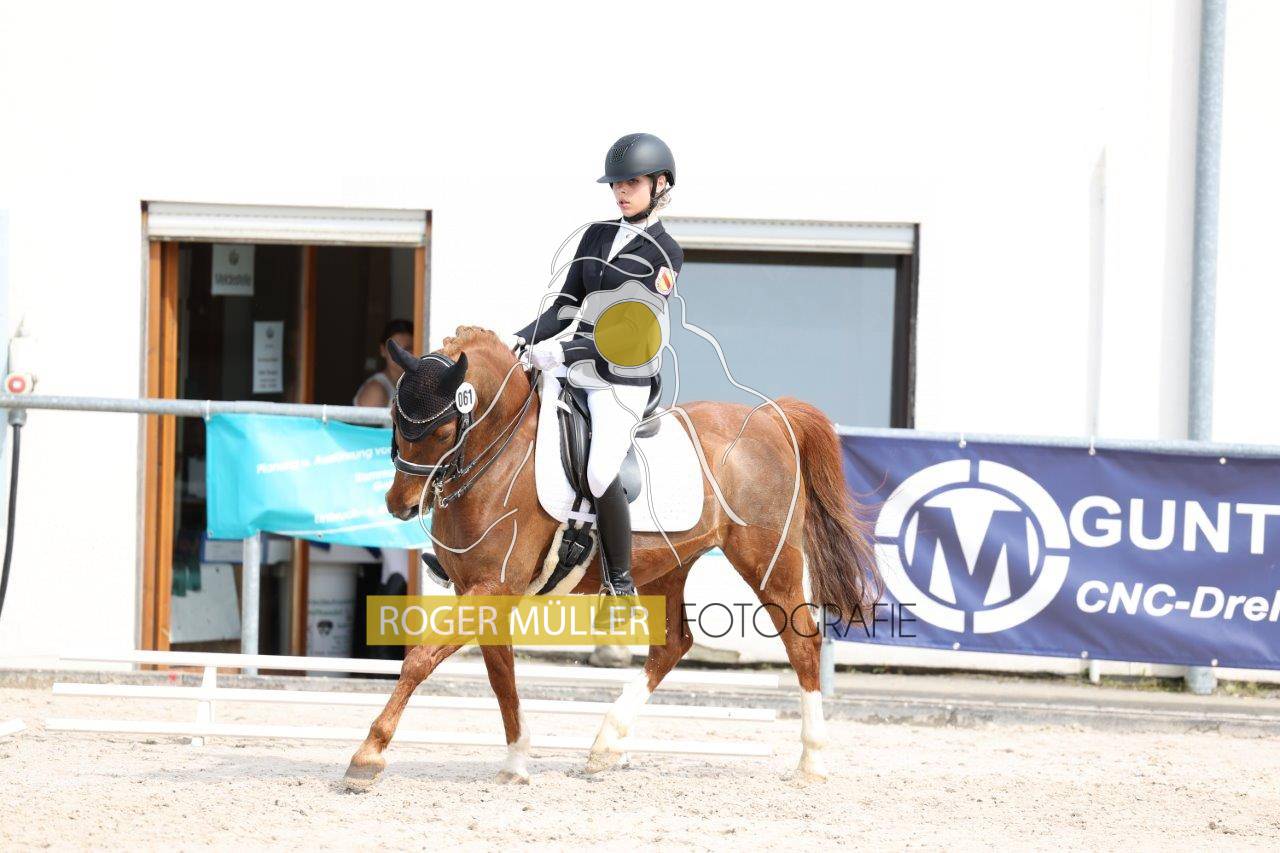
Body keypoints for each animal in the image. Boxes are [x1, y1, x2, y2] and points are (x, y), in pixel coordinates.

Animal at [344, 325, 880, 788]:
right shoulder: (484, 589)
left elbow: (420, 660)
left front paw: (369, 755)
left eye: (441, 431)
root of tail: (770, 418)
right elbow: (501, 676)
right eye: (395, 419)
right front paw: (515, 762)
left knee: (802, 642)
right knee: (672, 646)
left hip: (769, 562)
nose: (400, 505)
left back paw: (812, 761)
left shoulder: (493, 587)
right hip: (668, 567)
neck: (499, 455)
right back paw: (605, 745)